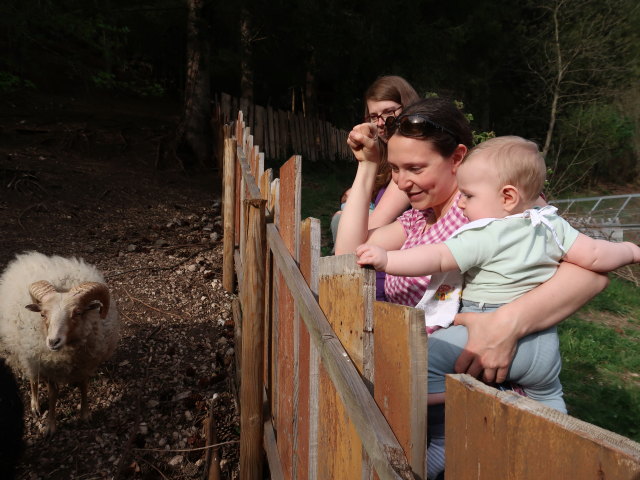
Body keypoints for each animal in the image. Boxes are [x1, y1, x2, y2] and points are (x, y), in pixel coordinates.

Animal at [0, 251, 120, 436]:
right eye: (43, 314)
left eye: (78, 313)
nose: (53, 342)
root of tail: (27, 258)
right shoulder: (49, 365)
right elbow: (53, 393)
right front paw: (50, 424)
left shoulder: (86, 362)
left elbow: (84, 385)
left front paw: (85, 414)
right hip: (28, 354)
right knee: (33, 378)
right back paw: (35, 404)